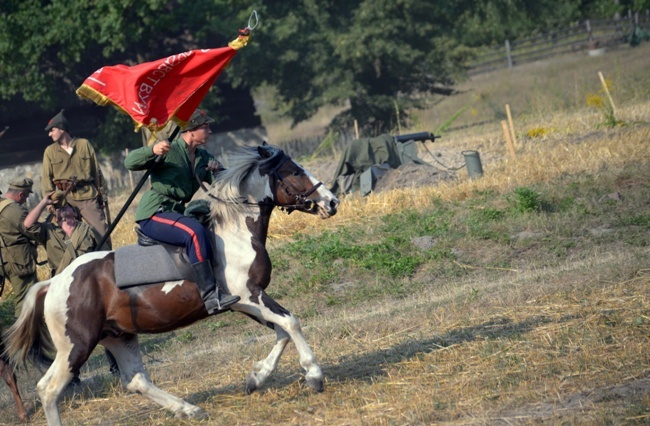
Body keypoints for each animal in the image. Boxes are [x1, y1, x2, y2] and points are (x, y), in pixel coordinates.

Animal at [2, 145, 340, 424]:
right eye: (294, 171)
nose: (333, 201)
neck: (235, 234)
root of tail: (55, 282)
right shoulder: (250, 297)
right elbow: (291, 322)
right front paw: (313, 375)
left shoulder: (247, 303)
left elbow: (282, 332)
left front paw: (256, 377)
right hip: (76, 346)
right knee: (48, 389)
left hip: (118, 336)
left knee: (136, 380)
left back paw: (189, 409)